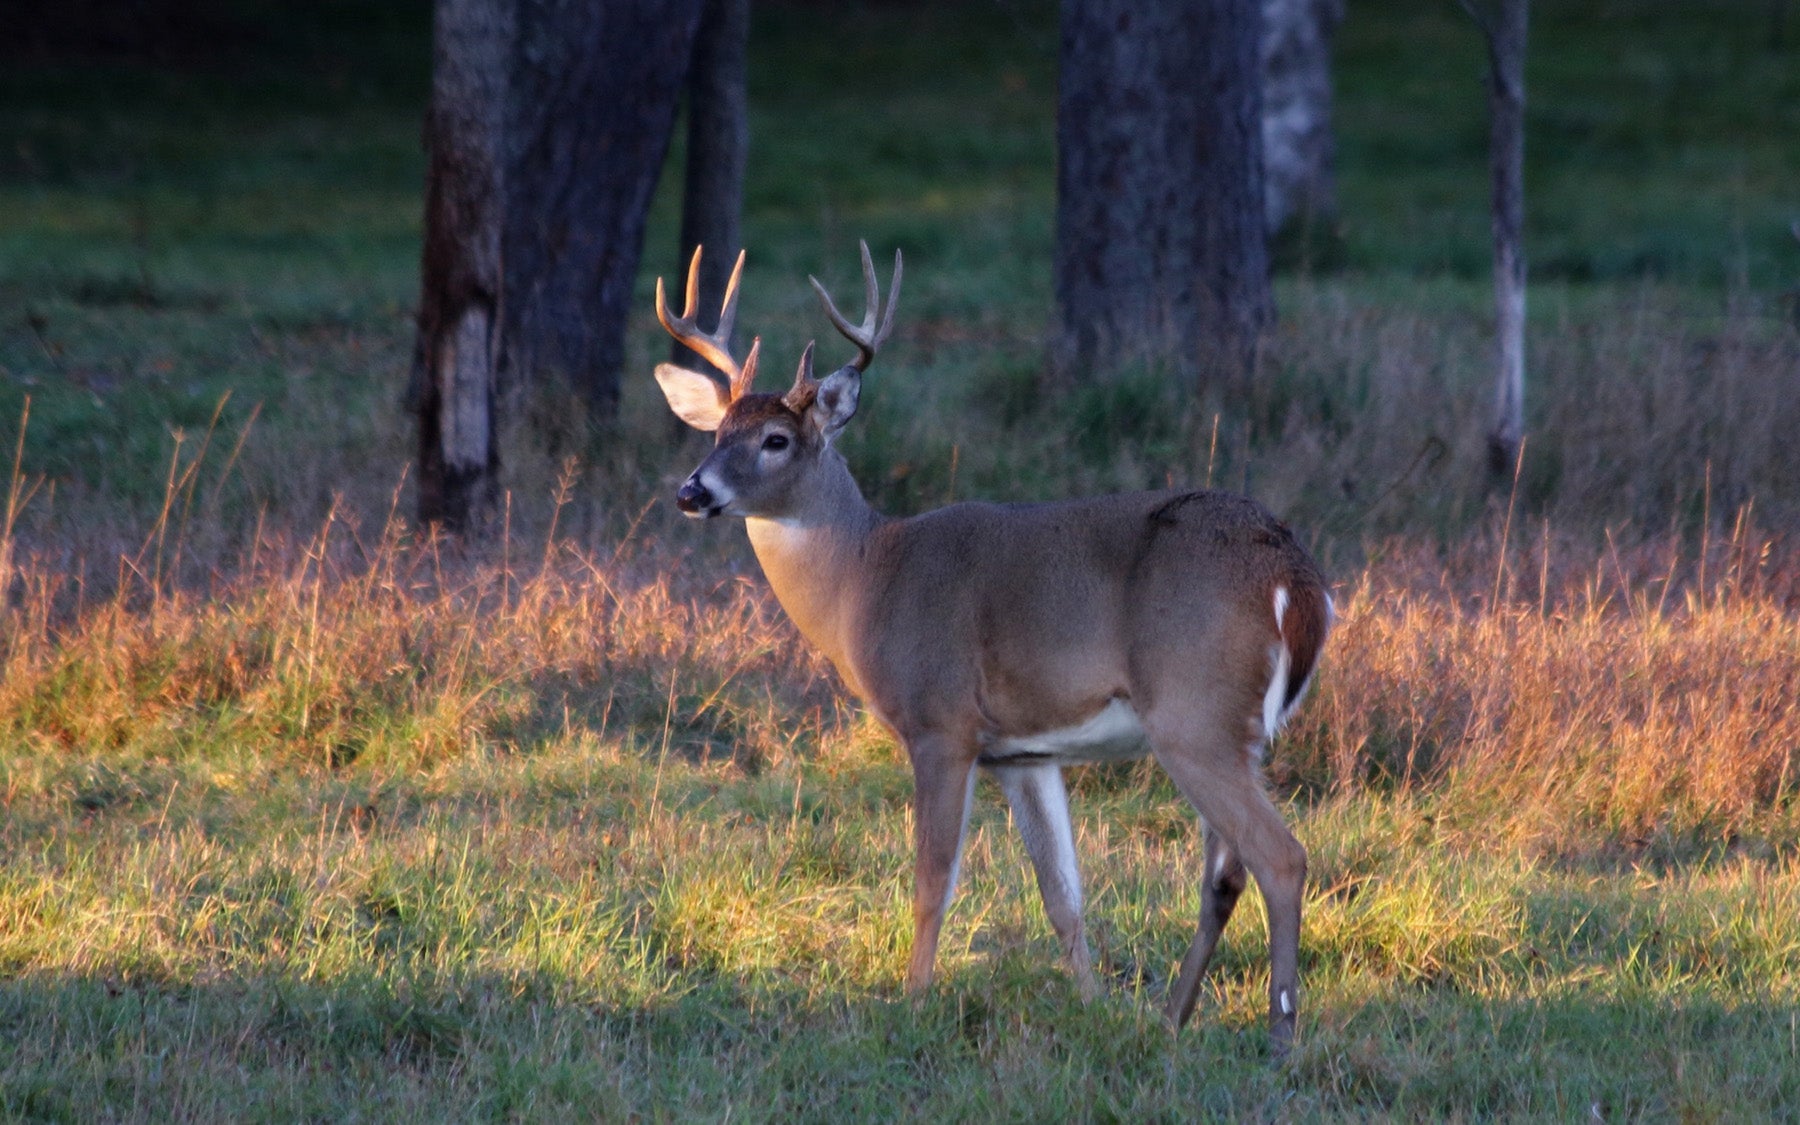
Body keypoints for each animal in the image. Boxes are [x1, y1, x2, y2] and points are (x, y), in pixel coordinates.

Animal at [655, 241, 1332, 1058]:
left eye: (775, 440)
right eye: (716, 432)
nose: (692, 491)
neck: (866, 578)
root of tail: (1297, 579)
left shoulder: (940, 723)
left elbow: (932, 879)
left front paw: (911, 1002)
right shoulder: (1024, 751)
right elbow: (1062, 893)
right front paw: (1092, 1007)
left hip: (1194, 715)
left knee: (1281, 856)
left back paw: (1281, 1038)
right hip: (1240, 732)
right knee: (1223, 875)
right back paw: (1170, 1018)